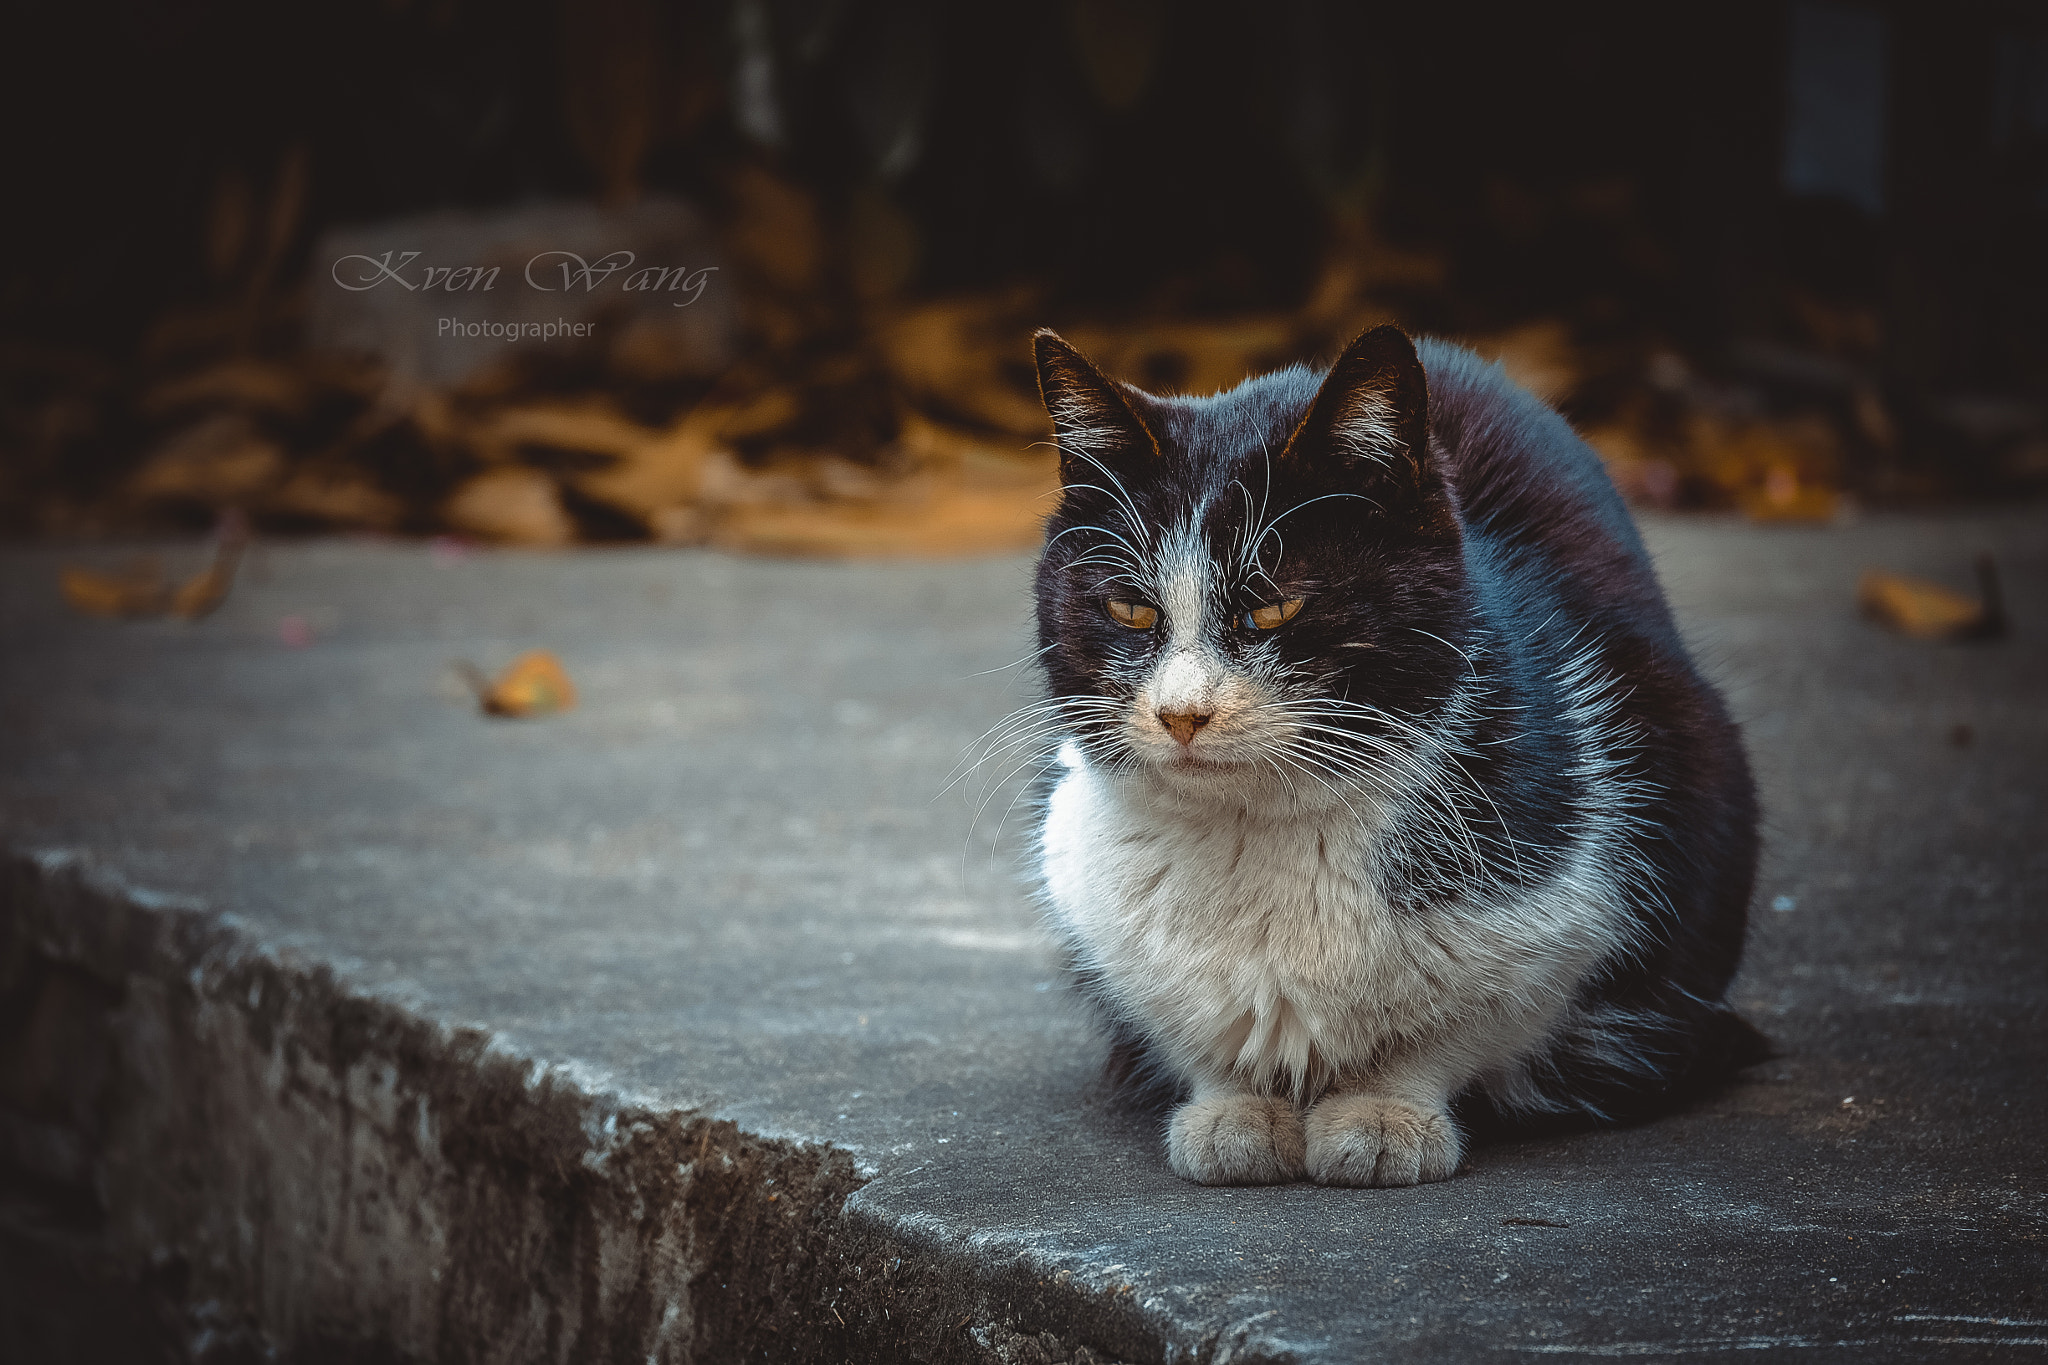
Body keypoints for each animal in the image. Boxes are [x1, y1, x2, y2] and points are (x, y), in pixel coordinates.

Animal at [1019, 323, 1761, 1186]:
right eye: (1130, 610)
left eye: (1274, 608)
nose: (1182, 714)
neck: (1254, 832)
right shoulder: (1082, 875)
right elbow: (1188, 1024)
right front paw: (1232, 1110)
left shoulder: (1566, 912)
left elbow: (1457, 1024)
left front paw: (1382, 1115)